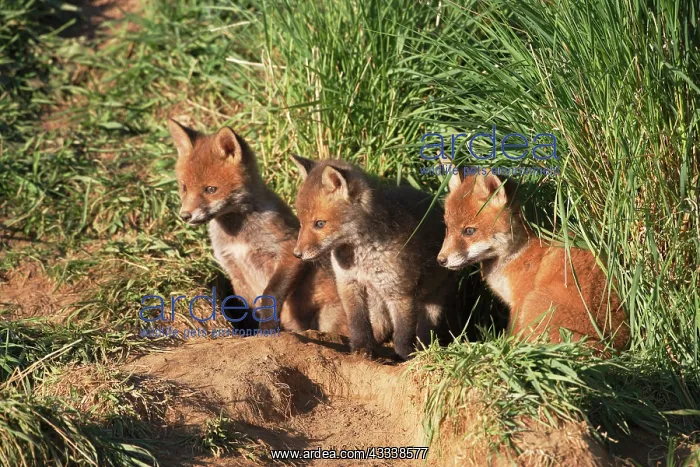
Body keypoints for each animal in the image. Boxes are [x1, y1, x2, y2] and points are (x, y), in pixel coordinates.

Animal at [167, 119, 347, 335]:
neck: (238, 237)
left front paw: (267, 328)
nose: (185, 215)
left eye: (210, 189)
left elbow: (270, 295)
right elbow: (247, 309)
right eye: (184, 187)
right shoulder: (234, 270)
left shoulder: (288, 250)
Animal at [290, 155, 456, 360]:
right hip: (376, 297)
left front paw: (403, 357)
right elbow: (357, 323)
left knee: (424, 330)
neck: (362, 258)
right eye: (301, 223)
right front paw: (361, 348)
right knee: (381, 326)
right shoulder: (348, 283)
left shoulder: (400, 291)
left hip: (432, 298)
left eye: (320, 224)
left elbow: (403, 332)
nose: (297, 254)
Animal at [438, 170, 629, 349]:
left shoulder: (519, 302)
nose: (440, 260)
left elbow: (512, 336)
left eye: (469, 231)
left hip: (533, 303)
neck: (517, 253)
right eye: (447, 228)